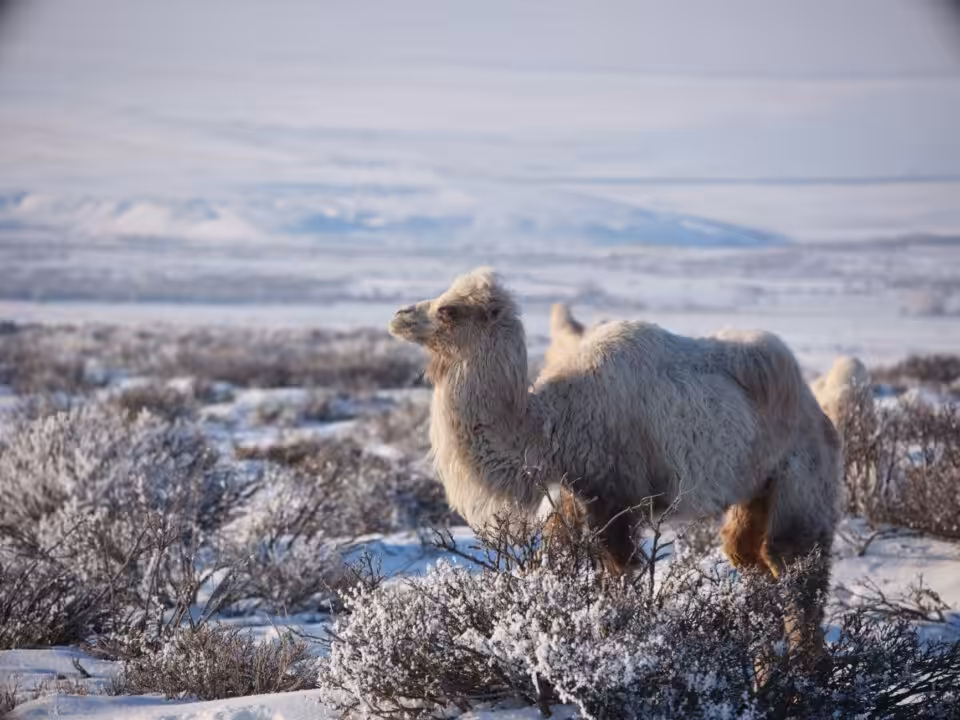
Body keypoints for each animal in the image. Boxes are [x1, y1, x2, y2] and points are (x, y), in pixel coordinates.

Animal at [389, 268, 841, 658]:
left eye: (449, 309)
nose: (399, 317)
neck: (551, 426)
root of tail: (819, 413)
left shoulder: (615, 496)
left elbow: (619, 571)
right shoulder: (574, 494)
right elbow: (558, 565)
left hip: (803, 477)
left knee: (794, 563)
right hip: (755, 488)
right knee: (747, 554)